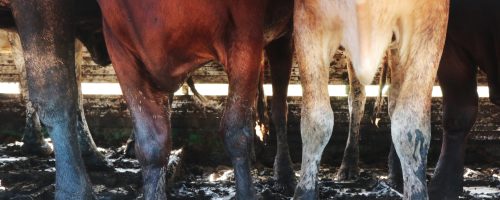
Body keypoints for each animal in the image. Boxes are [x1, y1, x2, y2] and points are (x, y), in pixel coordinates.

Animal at [97, 0, 292, 199]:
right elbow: (151, 145)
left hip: (284, 35)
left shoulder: (245, 33)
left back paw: (285, 176)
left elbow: (235, 133)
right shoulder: (119, 47)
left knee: (279, 109)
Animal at [292, 0, 450, 199]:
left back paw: (396, 176)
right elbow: (316, 121)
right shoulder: (308, 17)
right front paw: (305, 191)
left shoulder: (431, 19)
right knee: (357, 99)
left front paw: (416, 192)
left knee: (394, 100)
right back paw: (349, 164)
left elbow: (411, 128)